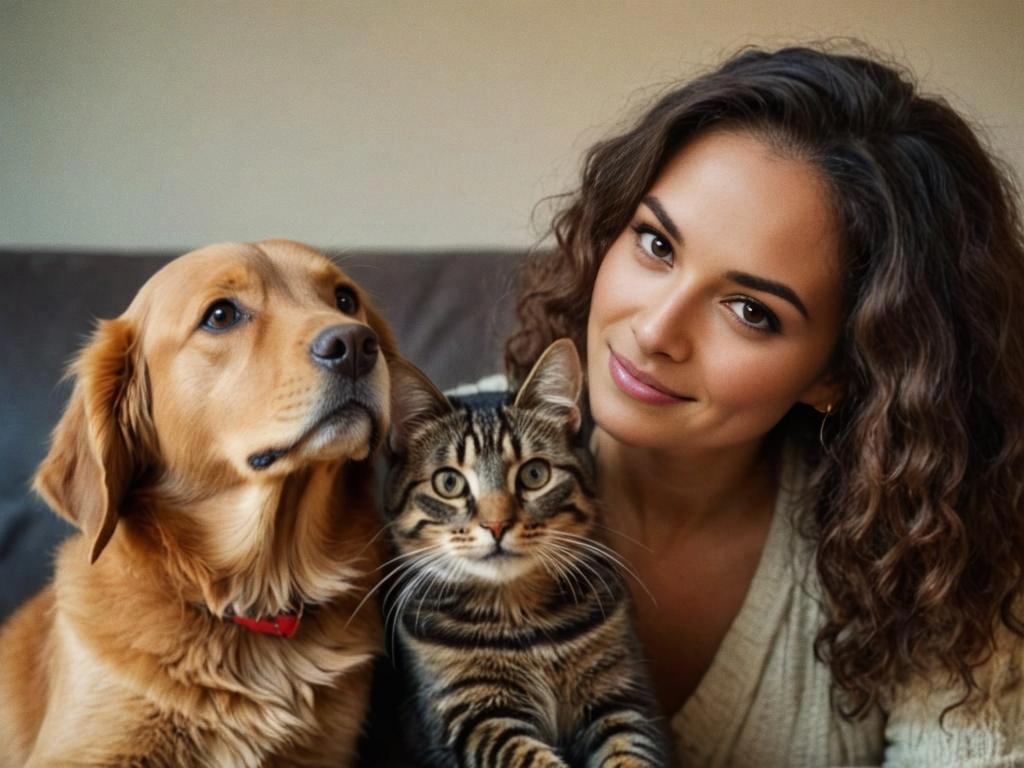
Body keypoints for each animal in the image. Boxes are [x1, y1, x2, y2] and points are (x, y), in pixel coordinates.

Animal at [382, 342, 663, 768]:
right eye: (449, 482)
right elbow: (529, 758)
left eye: (534, 475)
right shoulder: (474, 715)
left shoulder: (620, 695)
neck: (521, 620)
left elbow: (629, 754)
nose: (496, 525)